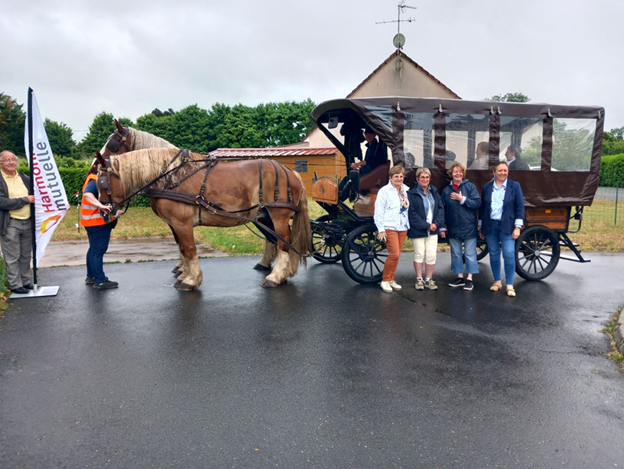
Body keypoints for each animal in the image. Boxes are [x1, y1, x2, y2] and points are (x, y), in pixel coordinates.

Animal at [94, 147, 310, 290]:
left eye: (103, 182)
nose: (105, 211)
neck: (169, 177)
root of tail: (291, 172)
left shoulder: (181, 222)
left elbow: (189, 249)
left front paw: (191, 280)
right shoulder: (175, 224)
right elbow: (183, 249)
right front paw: (184, 274)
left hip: (278, 216)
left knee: (284, 243)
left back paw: (276, 276)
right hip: (265, 217)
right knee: (277, 241)